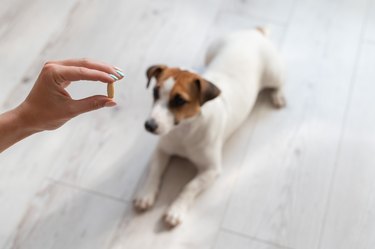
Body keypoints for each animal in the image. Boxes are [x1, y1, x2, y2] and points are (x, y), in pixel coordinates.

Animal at [134, 27, 286, 228]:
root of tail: (253, 32)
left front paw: (176, 210)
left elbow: (189, 186)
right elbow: (154, 172)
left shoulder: (211, 170)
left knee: (280, 82)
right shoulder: (162, 150)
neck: (184, 131)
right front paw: (146, 194)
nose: (149, 125)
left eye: (179, 101)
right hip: (210, 52)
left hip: (273, 73)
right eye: (155, 92)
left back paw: (278, 96)